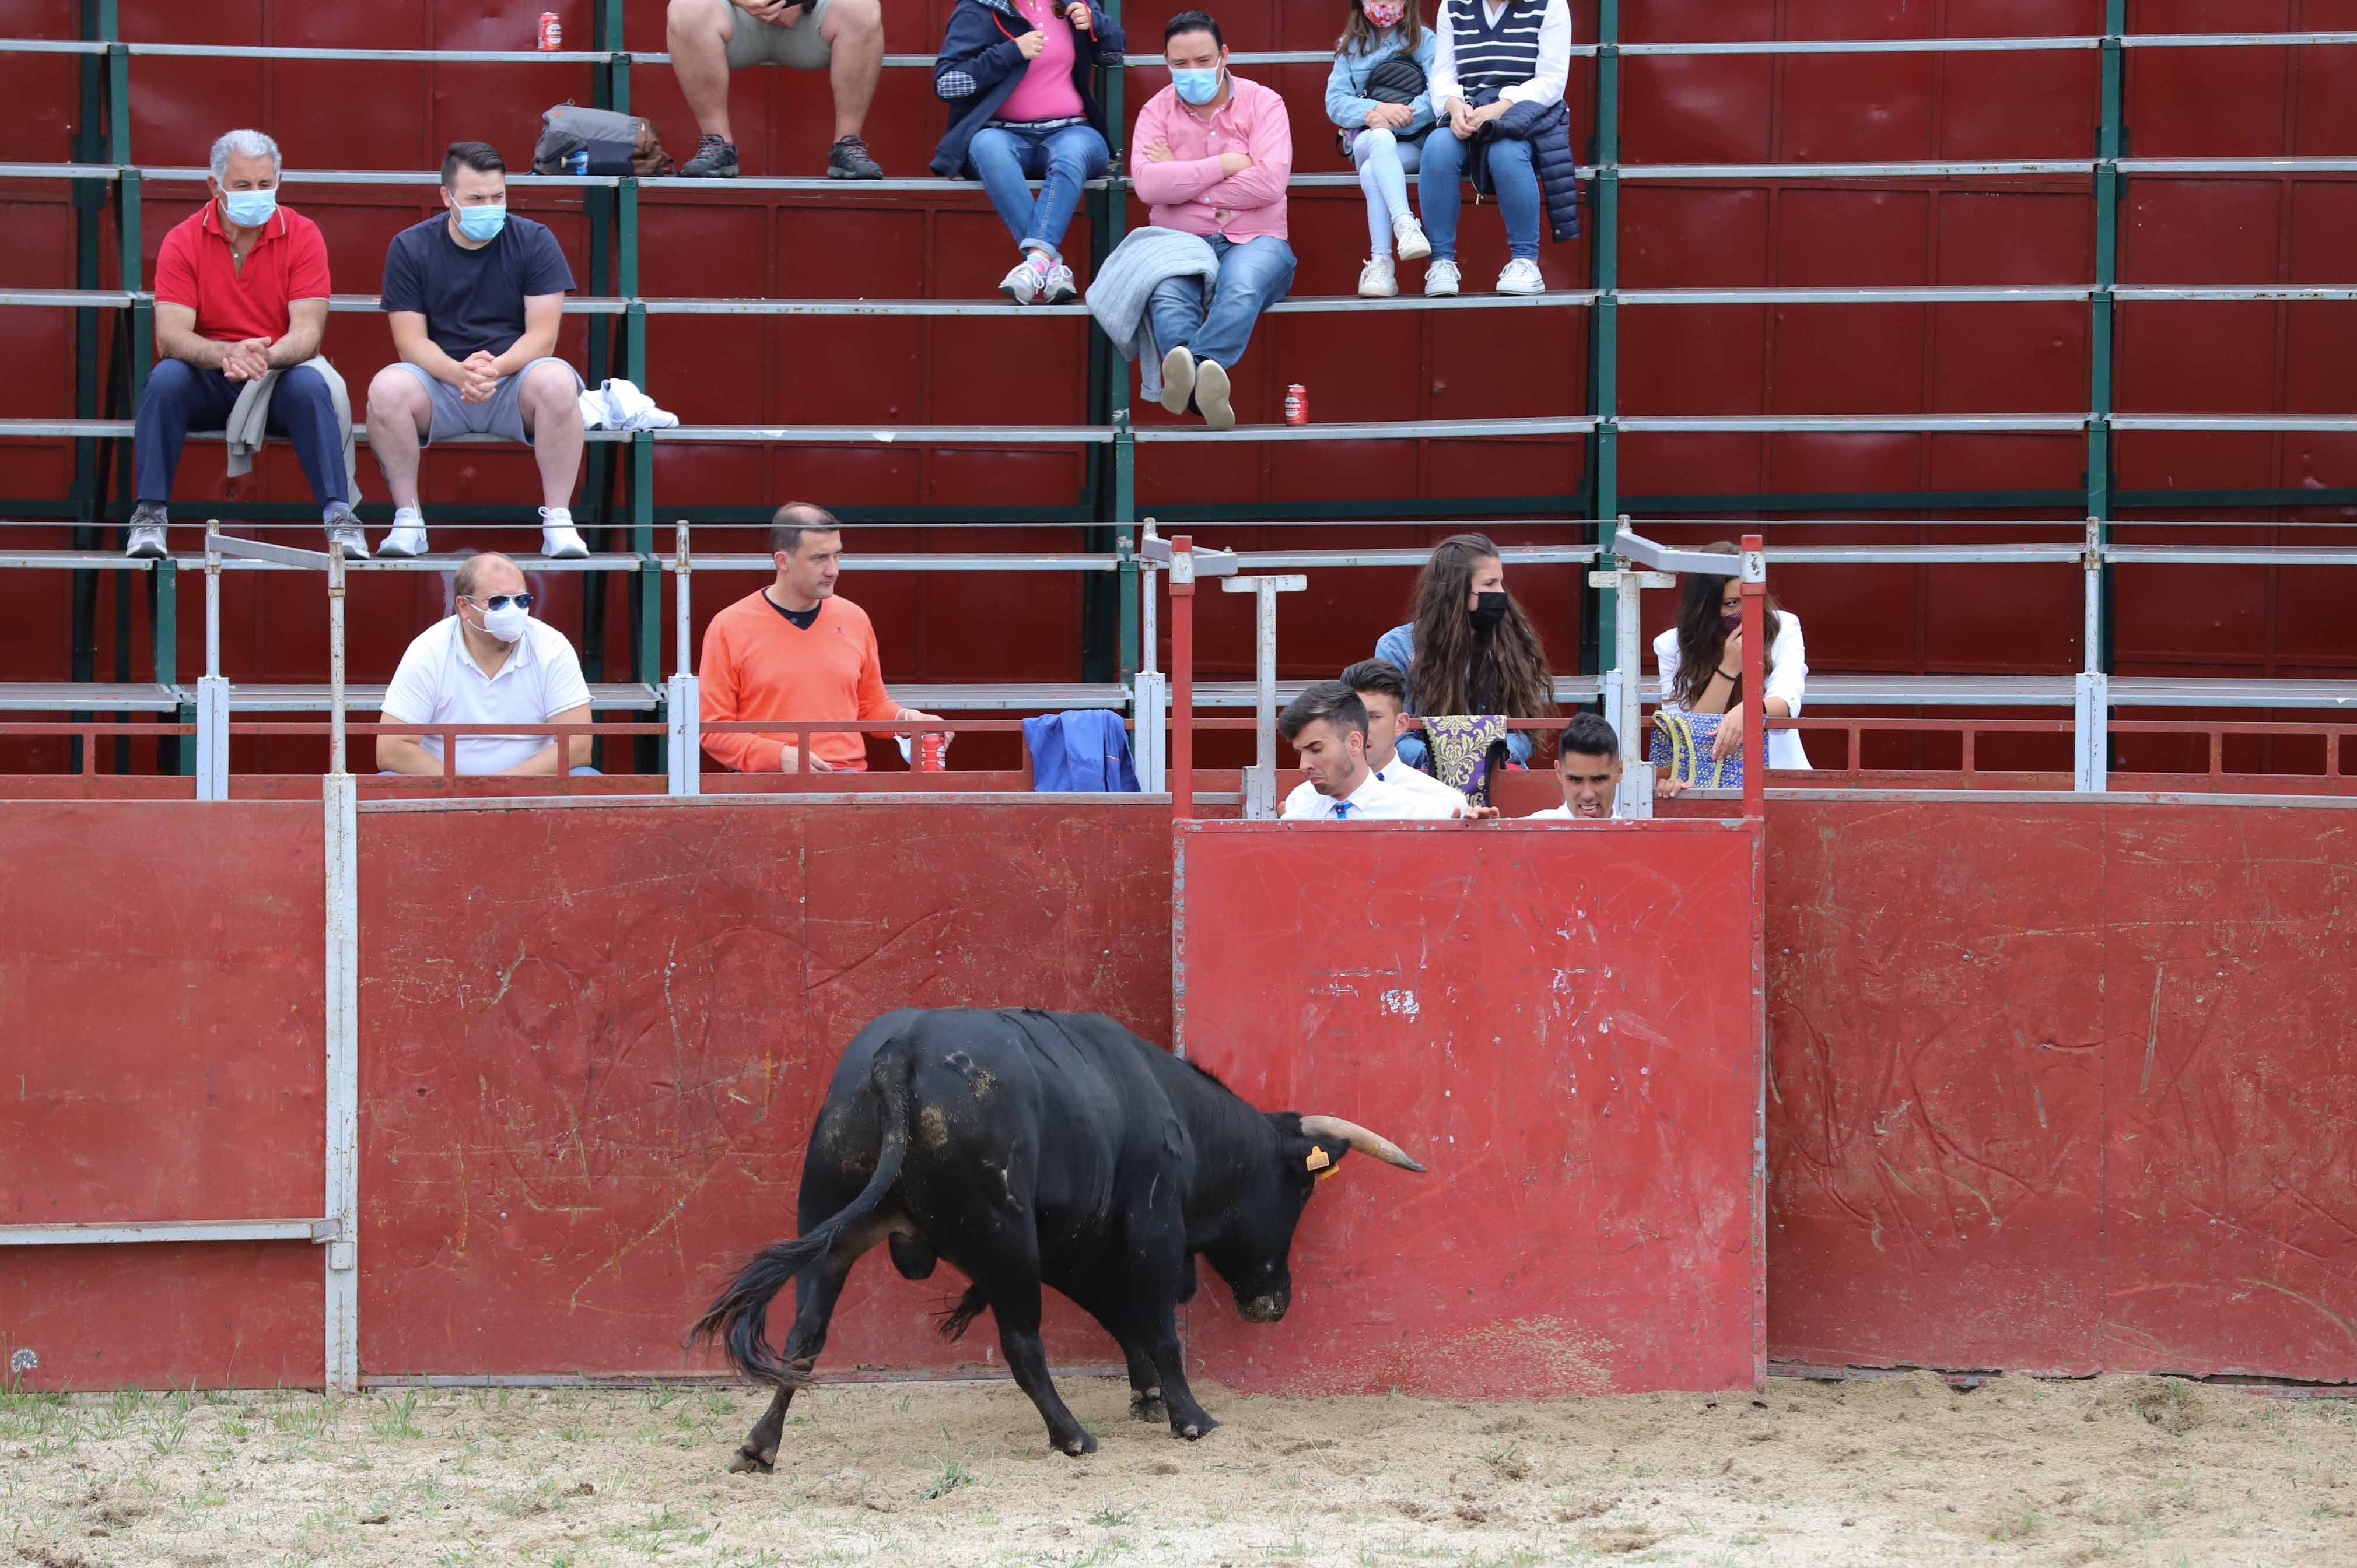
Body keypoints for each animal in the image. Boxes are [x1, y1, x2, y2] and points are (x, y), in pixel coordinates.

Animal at [683, 1009, 1414, 1462]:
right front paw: (1189, 1417)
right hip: (1001, 1237)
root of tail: (899, 1053)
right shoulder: (1151, 1230)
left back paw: (759, 1445)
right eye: (1303, 1191)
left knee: (804, 1336)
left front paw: (1147, 1396)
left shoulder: (1070, 1244)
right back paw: (1073, 1436)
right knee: (1022, 1343)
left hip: (830, 1230)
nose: (1275, 1303)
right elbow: (1157, 1327)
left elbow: (1120, 1317)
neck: (1175, 1112)